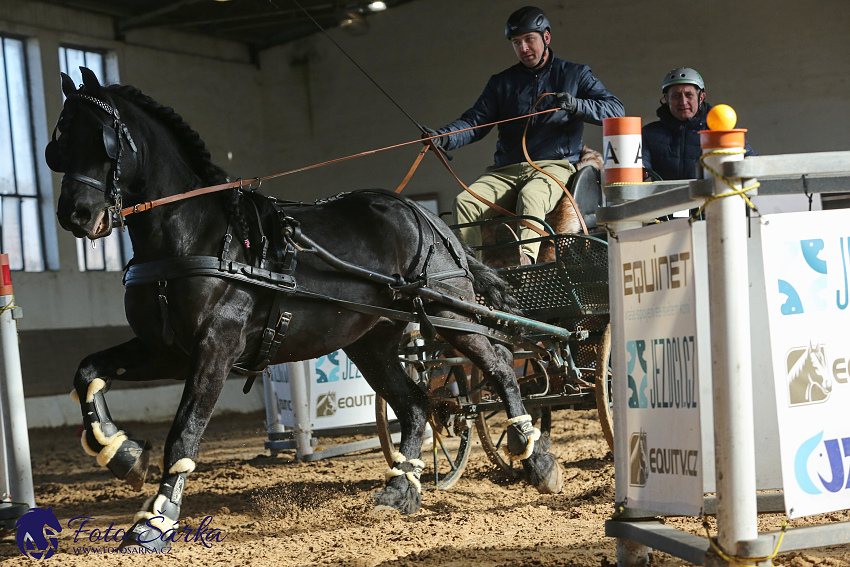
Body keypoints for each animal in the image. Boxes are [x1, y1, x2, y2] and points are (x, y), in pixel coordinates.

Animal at [49, 69, 560, 552]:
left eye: (103, 140)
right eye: (60, 141)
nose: (74, 214)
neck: (196, 235)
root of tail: (427, 218)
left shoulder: (215, 346)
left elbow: (185, 429)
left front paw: (156, 519)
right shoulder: (166, 349)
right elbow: (87, 370)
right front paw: (122, 453)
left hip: (448, 313)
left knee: (500, 367)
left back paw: (535, 458)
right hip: (372, 340)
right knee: (415, 404)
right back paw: (400, 491)